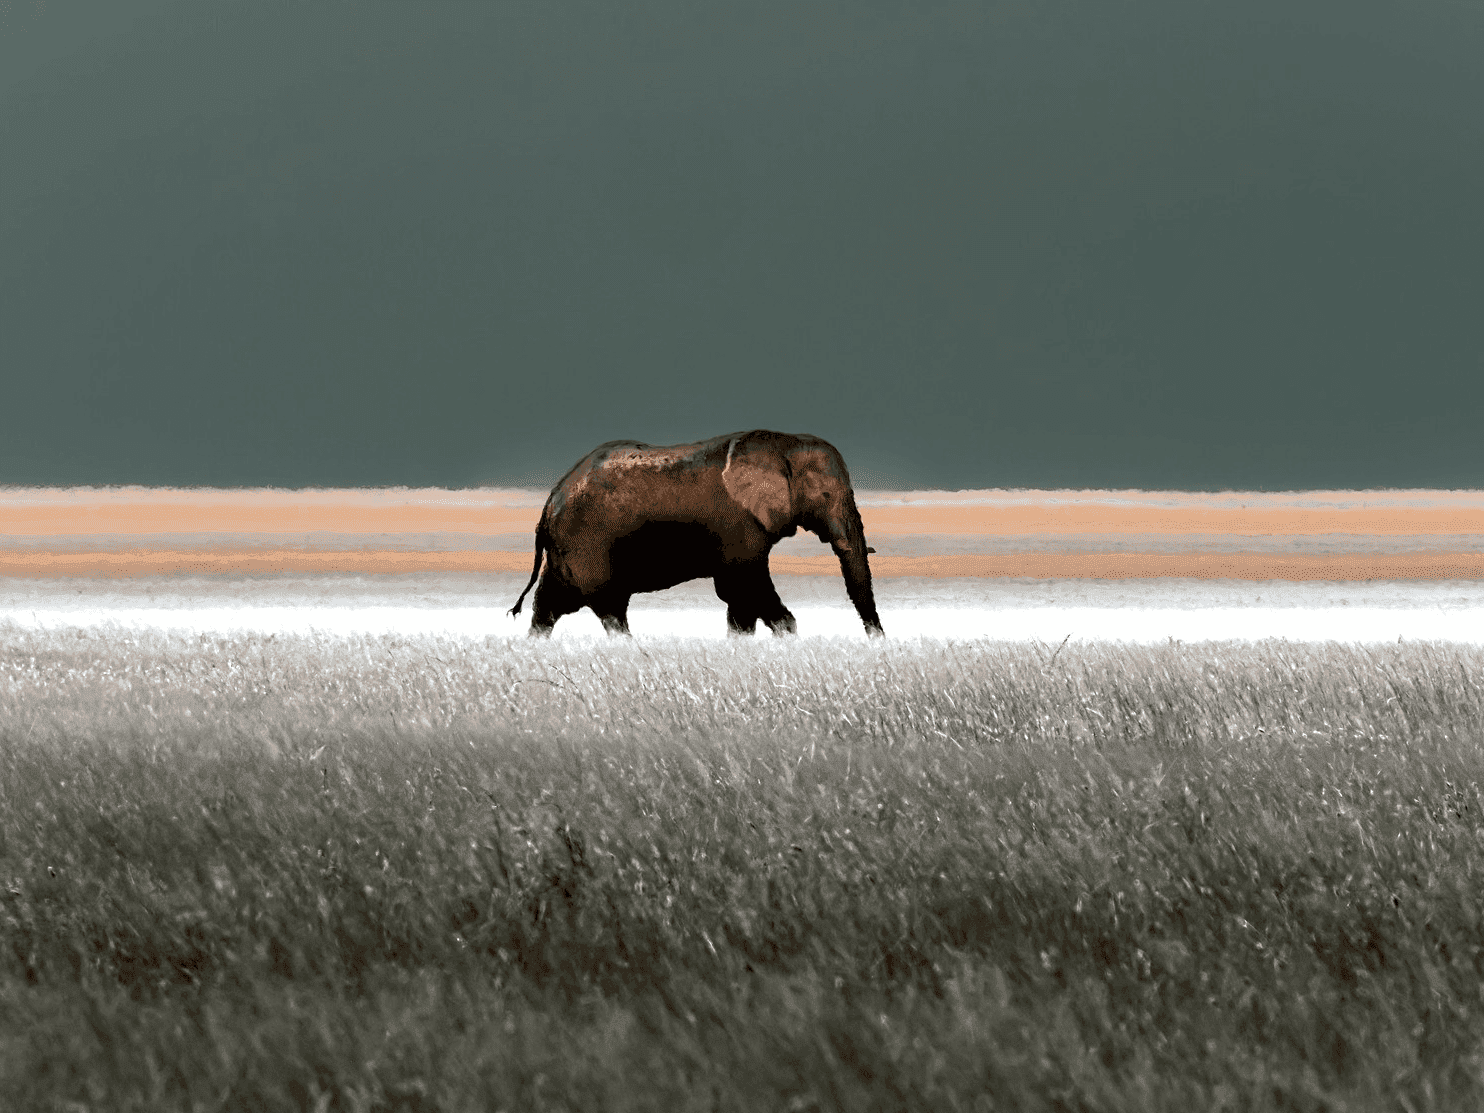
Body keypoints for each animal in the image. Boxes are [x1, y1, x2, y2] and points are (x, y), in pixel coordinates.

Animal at [509, 430, 884, 638]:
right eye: (827, 495)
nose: (878, 640)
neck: (783, 444)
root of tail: (549, 502)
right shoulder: (739, 523)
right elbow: (745, 586)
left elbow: (740, 602)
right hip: (587, 544)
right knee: (609, 608)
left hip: (568, 551)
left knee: (550, 605)